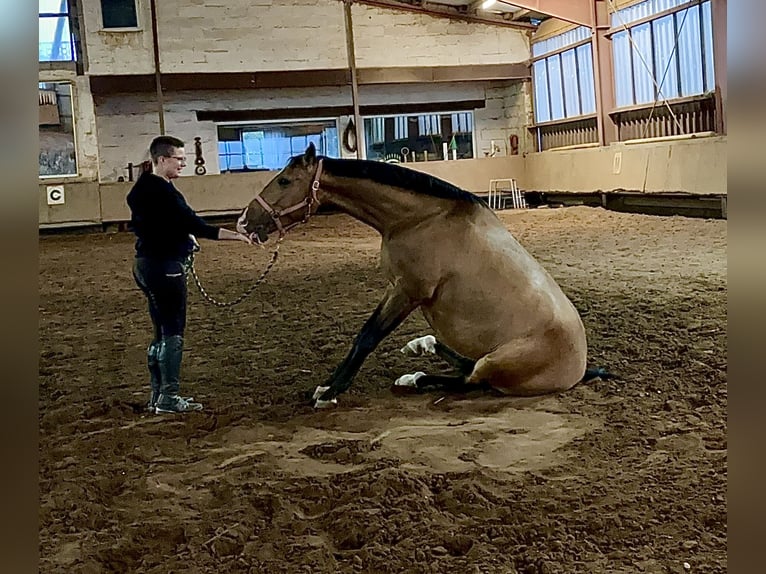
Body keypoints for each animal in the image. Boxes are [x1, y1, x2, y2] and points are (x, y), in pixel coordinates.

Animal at [237, 144, 608, 410]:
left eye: (285, 180)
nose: (244, 221)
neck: (419, 218)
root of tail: (578, 369)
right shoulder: (396, 287)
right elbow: (364, 335)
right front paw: (328, 386)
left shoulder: (408, 291)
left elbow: (367, 336)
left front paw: (329, 391)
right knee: (466, 367)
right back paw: (422, 346)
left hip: (498, 362)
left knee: (470, 378)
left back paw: (414, 378)